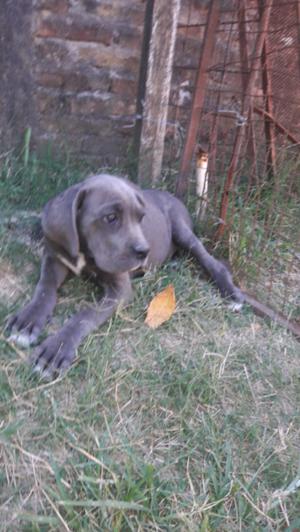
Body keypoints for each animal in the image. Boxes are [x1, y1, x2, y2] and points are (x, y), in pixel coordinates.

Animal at [8, 172, 244, 376]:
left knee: (211, 262)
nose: (144, 251)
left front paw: (57, 348)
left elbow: (86, 315)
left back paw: (232, 294)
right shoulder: (55, 259)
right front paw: (28, 320)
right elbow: (45, 288)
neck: (86, 251)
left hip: (182, 229)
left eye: (141, 218)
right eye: (111, 217)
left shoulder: (119, 290)